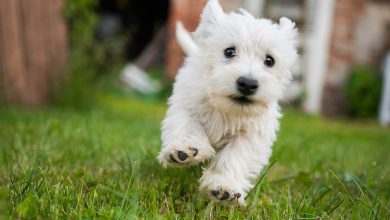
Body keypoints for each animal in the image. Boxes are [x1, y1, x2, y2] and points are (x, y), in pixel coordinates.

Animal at [157, 0, 298, 205]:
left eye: (269, 61)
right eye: (229, 51)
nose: (247, 83)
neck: (227, 108)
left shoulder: (251, 134)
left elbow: (235, 157)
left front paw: (223, 186)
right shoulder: (186, 106)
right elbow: (187, 125)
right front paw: (183, 149)